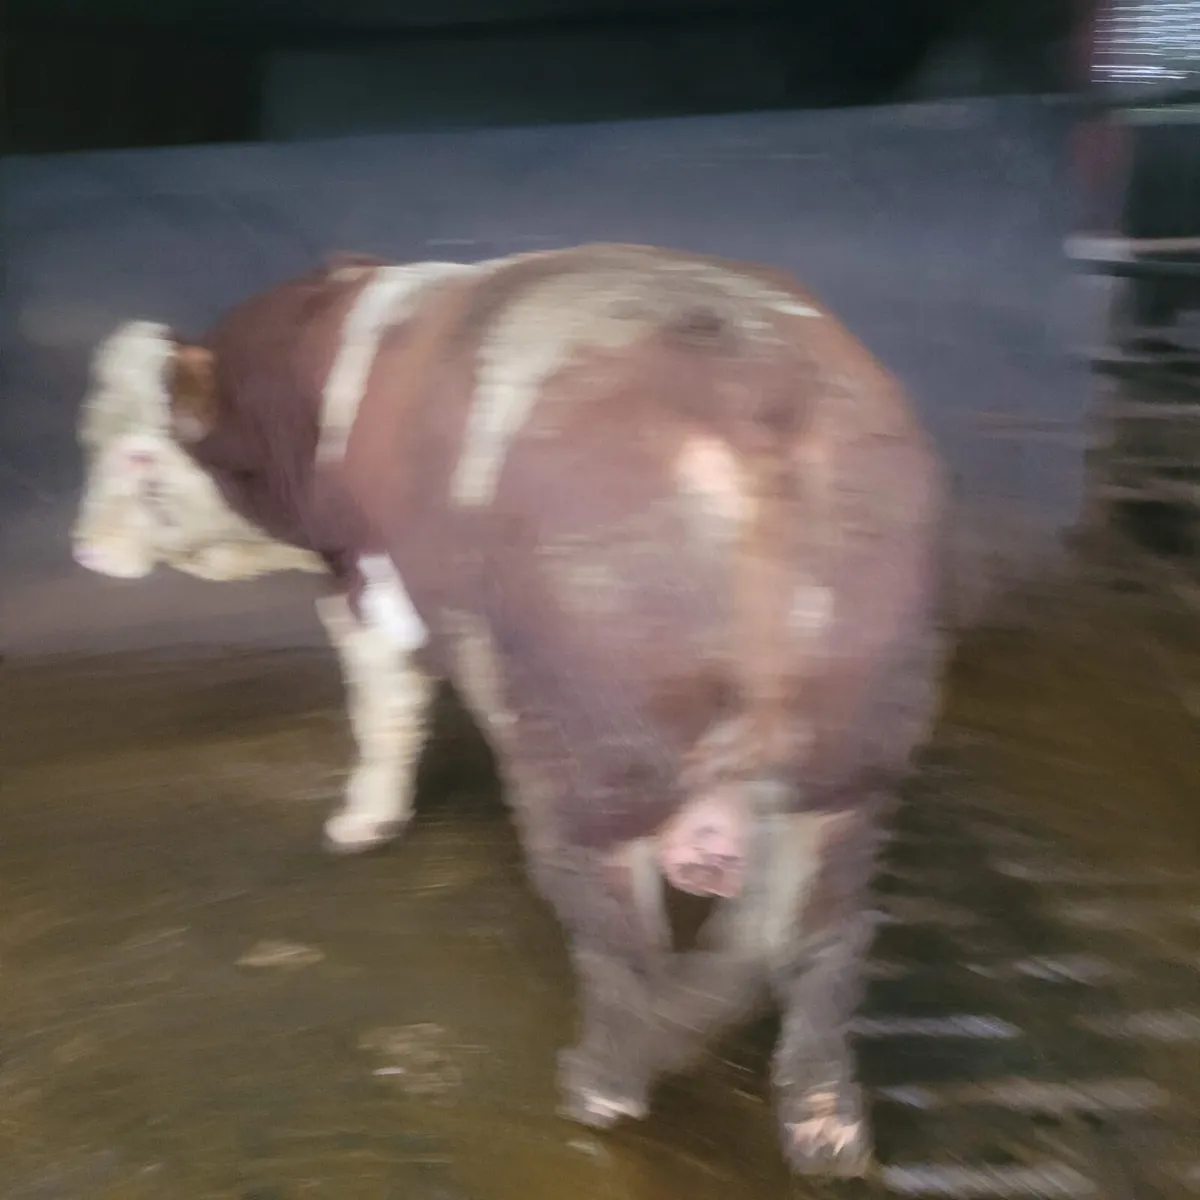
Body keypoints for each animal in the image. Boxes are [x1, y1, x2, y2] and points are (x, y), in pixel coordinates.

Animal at [71, 244, 949, 1178]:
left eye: (138, 456)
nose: (84, 550)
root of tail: (750, 384)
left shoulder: (366, 574)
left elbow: (382, 700)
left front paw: (360, 824)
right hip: (851, 753)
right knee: (825, 931)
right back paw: (822, 1126)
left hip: (591, 752)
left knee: (620, 924)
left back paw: (604, 1083)